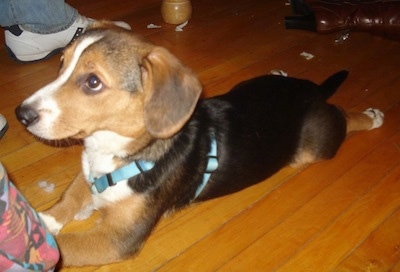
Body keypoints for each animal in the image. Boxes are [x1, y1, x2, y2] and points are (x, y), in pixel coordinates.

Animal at [14, 21, 384, 266]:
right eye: (61, 65)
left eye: (92, 82)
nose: (21, 114)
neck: (117, 151)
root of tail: (312, 90)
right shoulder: (88, 170)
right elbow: (70, 195)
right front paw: (43, 220)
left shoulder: (118, 240)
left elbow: (64, 246)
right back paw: (279, 72)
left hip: (318, 144)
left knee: (344, 117)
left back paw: (372, 116)